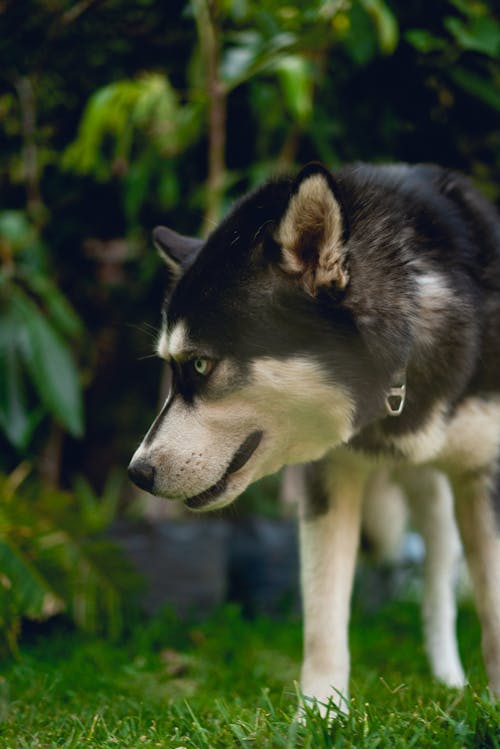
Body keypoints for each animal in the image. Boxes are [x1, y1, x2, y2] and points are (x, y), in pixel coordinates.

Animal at [129, 162, 500, 708]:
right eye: (173, 368)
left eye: (199, 364)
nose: (137, 473)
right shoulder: (330, 476)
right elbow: (324, 616)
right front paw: (320, 713)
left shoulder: (484, 475)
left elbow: (491, 607)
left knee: (437, 577)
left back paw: (449, 678)